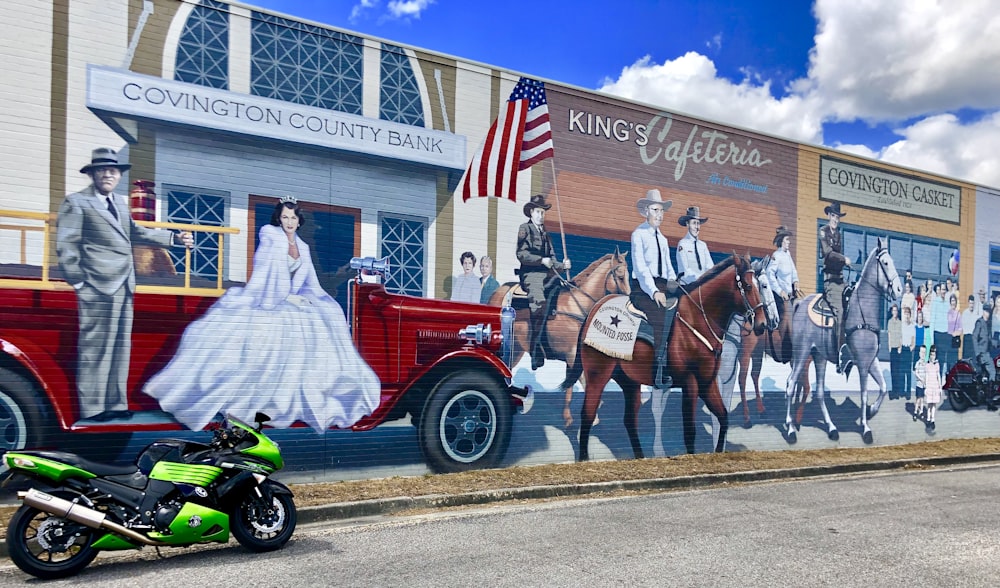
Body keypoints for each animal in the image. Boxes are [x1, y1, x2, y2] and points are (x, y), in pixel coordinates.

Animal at [486, 249, 632, 422]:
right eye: (621, 276)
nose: (630, 304)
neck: (576, 304)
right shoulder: (572, 355)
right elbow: (580, 380)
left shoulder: (574, 357)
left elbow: (573, 382)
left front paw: (569, 415)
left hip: (516, 349)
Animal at [576, 255, 768, 462]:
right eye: (747, 286)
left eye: (760, 286)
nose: (762, 324)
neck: (697, 318)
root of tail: (594, 309)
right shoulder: (691, 382)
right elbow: (690, 430)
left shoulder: (707, 382)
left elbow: (723, 417)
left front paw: (718, 452)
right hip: (598, 375)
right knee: (587, 413)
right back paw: (583, 459)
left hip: (629, 381)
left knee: (629, 420)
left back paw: (640, 456)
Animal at [784, 237, 904, 444]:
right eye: (885, 263)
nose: (899, 290)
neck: (863, 311)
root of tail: (800, 304)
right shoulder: (862, 364)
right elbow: (864, 394)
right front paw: (866, 429)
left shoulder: (872, 360)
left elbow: (883, 387)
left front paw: (871, 412)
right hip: (802, 353)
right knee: (791, 384)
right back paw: (791, 431)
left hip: (819, 357)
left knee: (819, 392)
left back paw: (832, 428)